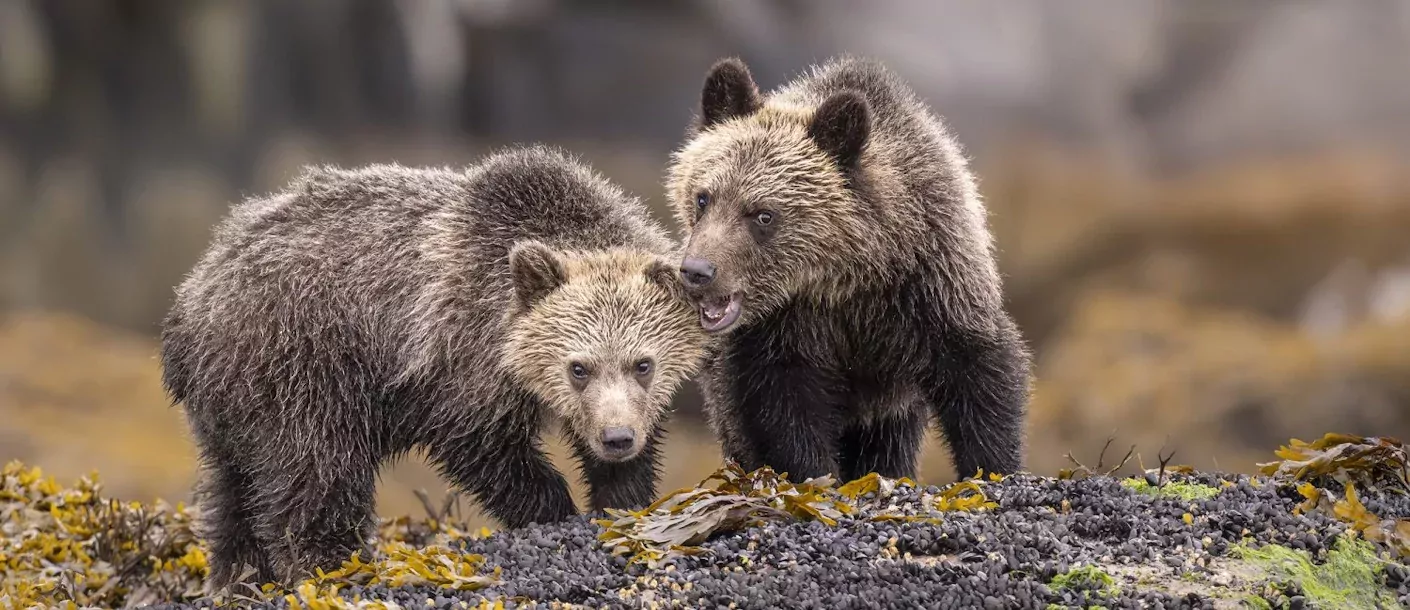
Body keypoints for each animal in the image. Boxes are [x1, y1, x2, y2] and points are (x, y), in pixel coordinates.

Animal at [160, 145, 706, 588]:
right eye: (578, 368)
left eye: (643, 364)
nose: (617, 438)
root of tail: (191, 300)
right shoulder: (458, 362)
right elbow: (483, 449)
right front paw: (555, 509)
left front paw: (623, 498)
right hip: (300, 365)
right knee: (316, 469)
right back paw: (335, 564)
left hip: (230, 404)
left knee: (232, 490)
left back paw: (241, 574)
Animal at [665, 56, 1032, 485]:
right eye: (703, 197)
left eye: (763, 214)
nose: (697, 271)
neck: (845, 279)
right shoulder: (783, 335)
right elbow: (784, 411)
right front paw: (817, 475)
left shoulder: (933, 286)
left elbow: (980, 375)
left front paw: (992, 468)